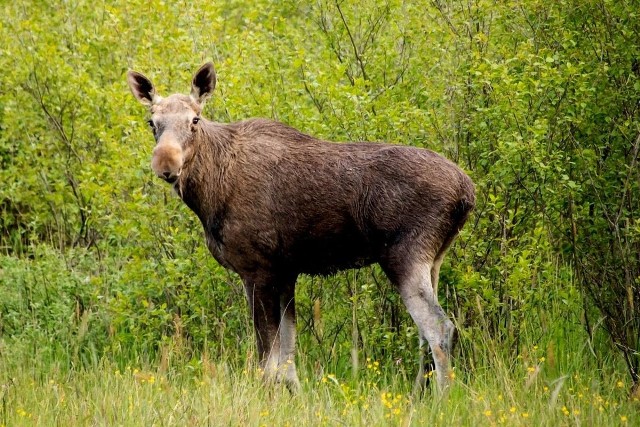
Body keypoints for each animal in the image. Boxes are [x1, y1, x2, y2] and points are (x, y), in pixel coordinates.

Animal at [126, 62, 476, 394]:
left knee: (439, 328)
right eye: (152, 123)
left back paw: (443, 399)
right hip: (433, 259)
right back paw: (418, 397)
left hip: (404, 256)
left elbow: (267, 357)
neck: (209, 192)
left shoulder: (257, 269)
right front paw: (293, 395)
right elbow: (288, 353)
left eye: (195, 120)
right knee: (425, 334)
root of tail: (467, 192)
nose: (166, 164)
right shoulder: (285, 272)